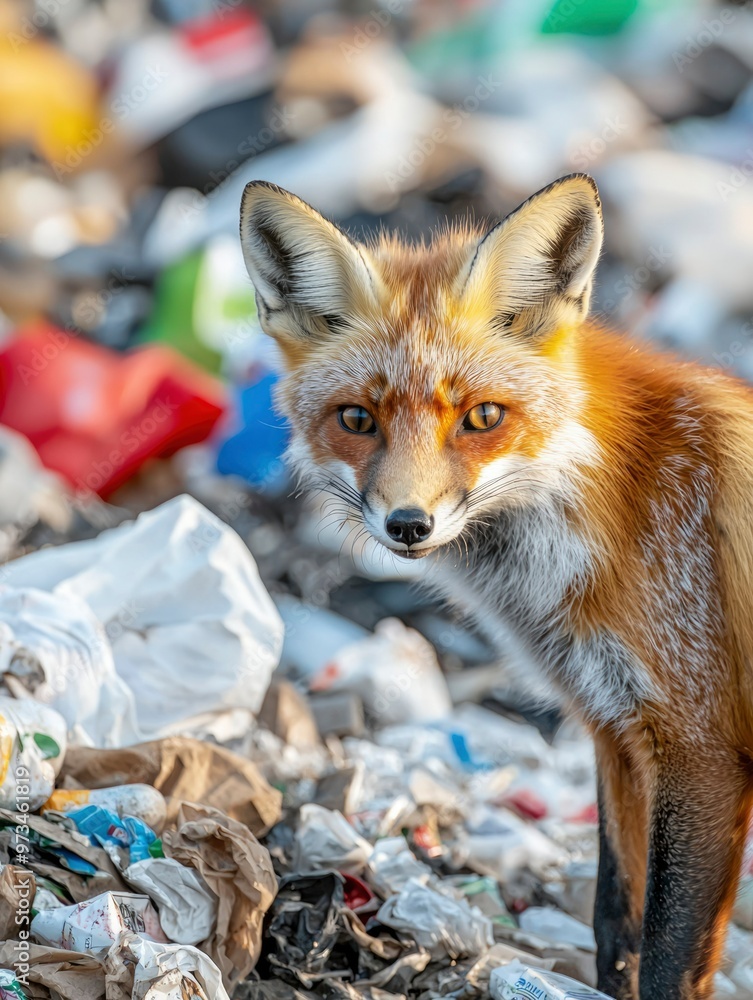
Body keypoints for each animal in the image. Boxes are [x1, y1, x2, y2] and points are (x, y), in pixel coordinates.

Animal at [239, 173, 753, 1000]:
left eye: (481, 417)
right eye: (357, 418)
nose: (407, 524)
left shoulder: (701, 747)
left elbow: (668, 959)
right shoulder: (616, 731)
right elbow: (616, 923)